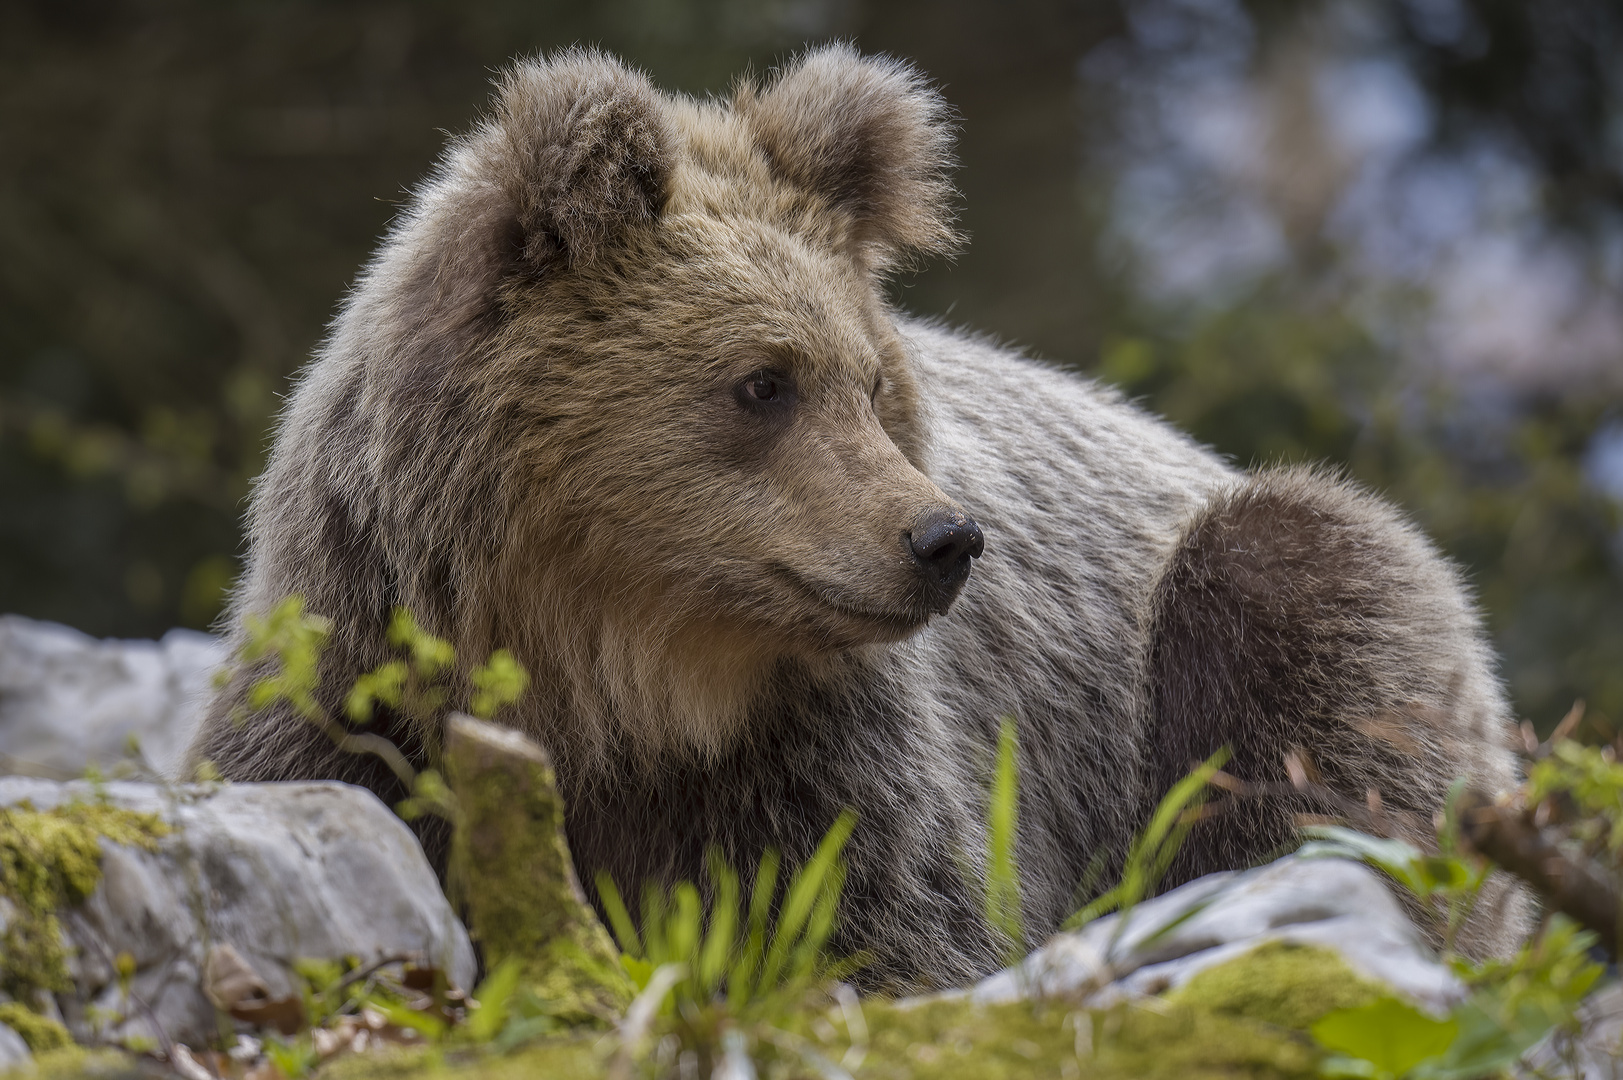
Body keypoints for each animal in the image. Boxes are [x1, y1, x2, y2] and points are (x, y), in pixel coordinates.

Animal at [189, 46, 1519, 987]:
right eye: (763, 382)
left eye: (875, 385)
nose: (944, 540)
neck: (611, 682)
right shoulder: (356, 693)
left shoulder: (834, 761)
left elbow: (893, 926)